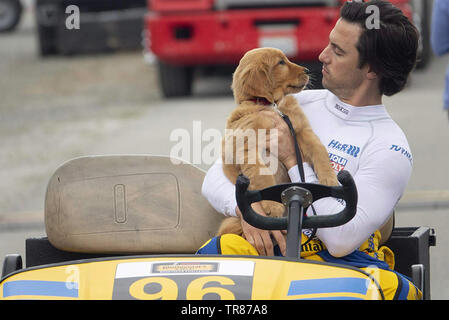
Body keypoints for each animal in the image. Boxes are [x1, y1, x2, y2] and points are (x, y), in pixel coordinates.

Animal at [217, 47, 336, 238]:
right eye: (281, 63)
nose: (307, 70)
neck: (271, 106)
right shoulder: (248, 148)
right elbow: (263, 175)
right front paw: (273, 206)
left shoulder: (301, 130)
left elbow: (319, 150)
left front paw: (329, 179)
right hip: (231, 223)